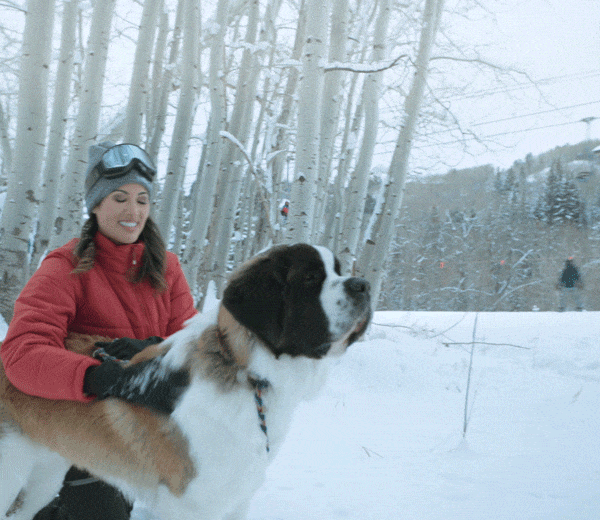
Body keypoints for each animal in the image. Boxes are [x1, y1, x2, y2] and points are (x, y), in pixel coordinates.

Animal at [0, 243, 371, 520]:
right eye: (310, 278)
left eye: (338, 271)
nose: (364, 285)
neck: (245, 373)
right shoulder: (192, 504)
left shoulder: (236, 497)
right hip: (11, 472)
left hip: (45, 474)